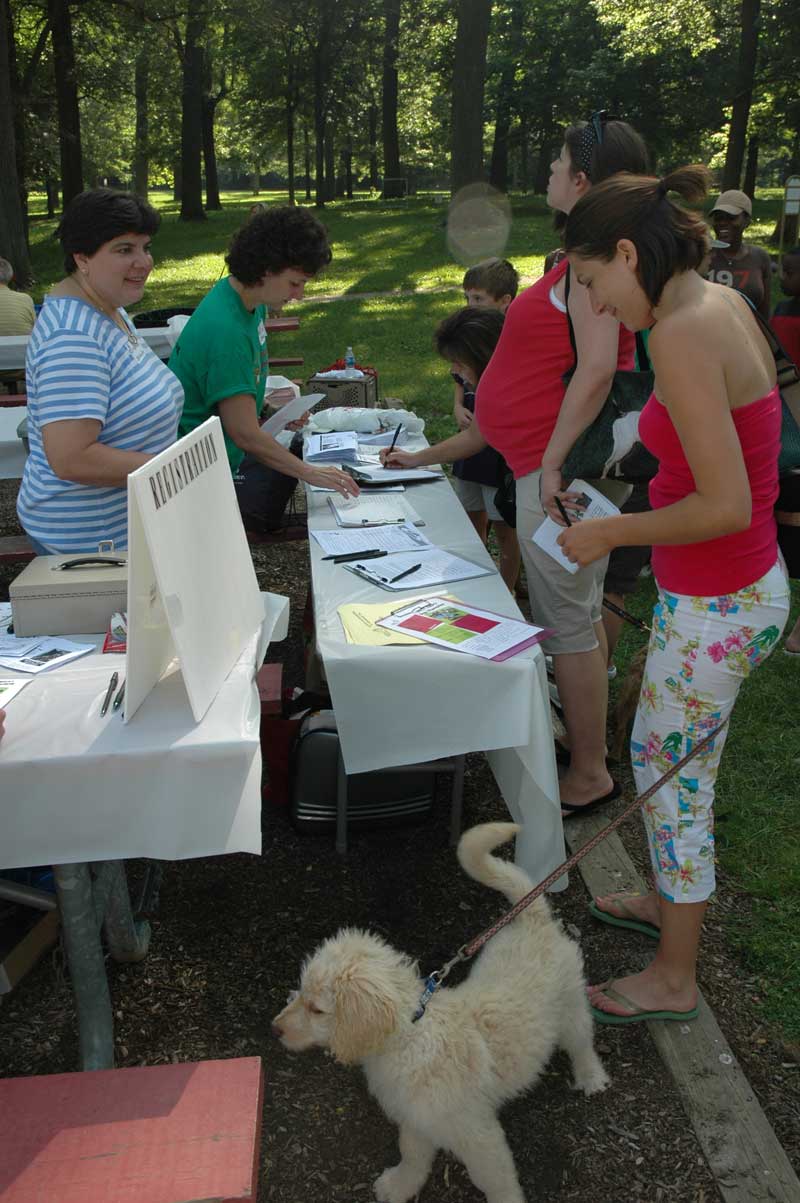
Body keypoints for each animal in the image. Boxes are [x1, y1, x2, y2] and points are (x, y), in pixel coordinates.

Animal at [269, 822, 606, 1198]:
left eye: (317, 1010)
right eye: (300, 993)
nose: (275, 1028)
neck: (410, 1036)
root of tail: (533, 918)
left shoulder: (476, 1132)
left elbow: (494, 1177)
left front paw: (506, 1198)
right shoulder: (416, 1119)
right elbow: (412, 1153)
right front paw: (400, 1186)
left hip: (572, 1006)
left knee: (582, 1042)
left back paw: (592, 1077)